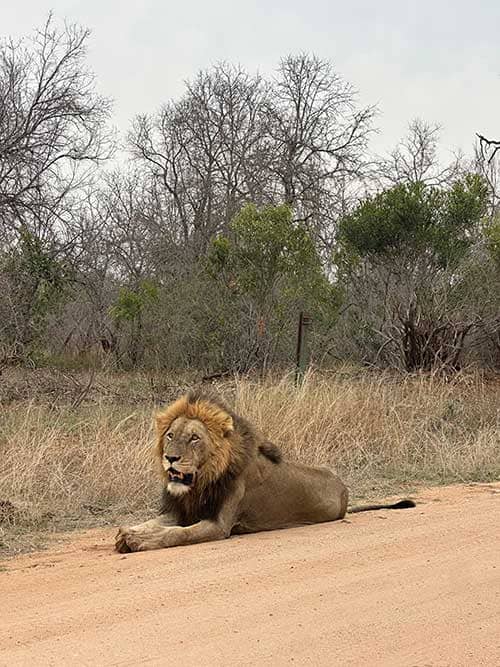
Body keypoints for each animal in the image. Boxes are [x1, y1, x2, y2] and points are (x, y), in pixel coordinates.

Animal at [115, 390, 415, 552]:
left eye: (194, 438)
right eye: (170, 435)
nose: (170, 458)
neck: (201, 483)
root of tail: (344, 490)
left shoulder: (219, 525)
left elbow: (177, 533)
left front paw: (139, 541)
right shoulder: (182, 510)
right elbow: (154, 523)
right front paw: (127, 533)